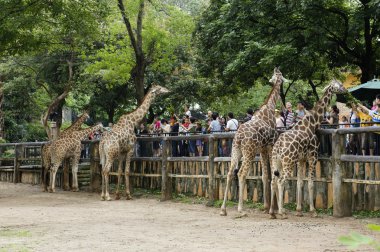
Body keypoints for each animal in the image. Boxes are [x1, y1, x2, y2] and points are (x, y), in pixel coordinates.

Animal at [220, 68, 284, 216]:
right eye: (280, 76)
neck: (269, 109)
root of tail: (239, 137)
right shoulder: (270, 146)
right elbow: (272, 174)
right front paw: (274, 209)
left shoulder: (262, 149)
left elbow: (265, 175)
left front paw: (267, 207)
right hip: (248, 152)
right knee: (241, 173)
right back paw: (240, 209)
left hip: (236, 150)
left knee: (230, 173)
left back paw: (223, 209)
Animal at [268, 79, 346, 219]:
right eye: (339, 84)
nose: (346, 90)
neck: (312, 123)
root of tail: (278, 147)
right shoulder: (313, 156)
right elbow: (310, 182)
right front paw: (313, 211)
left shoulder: (301, 159)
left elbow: (300, 182)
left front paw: (299, 210)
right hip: (288, 163)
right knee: (281, 182)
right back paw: (282, 212)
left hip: (277, 162)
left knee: (273, 181)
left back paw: (272, 212)